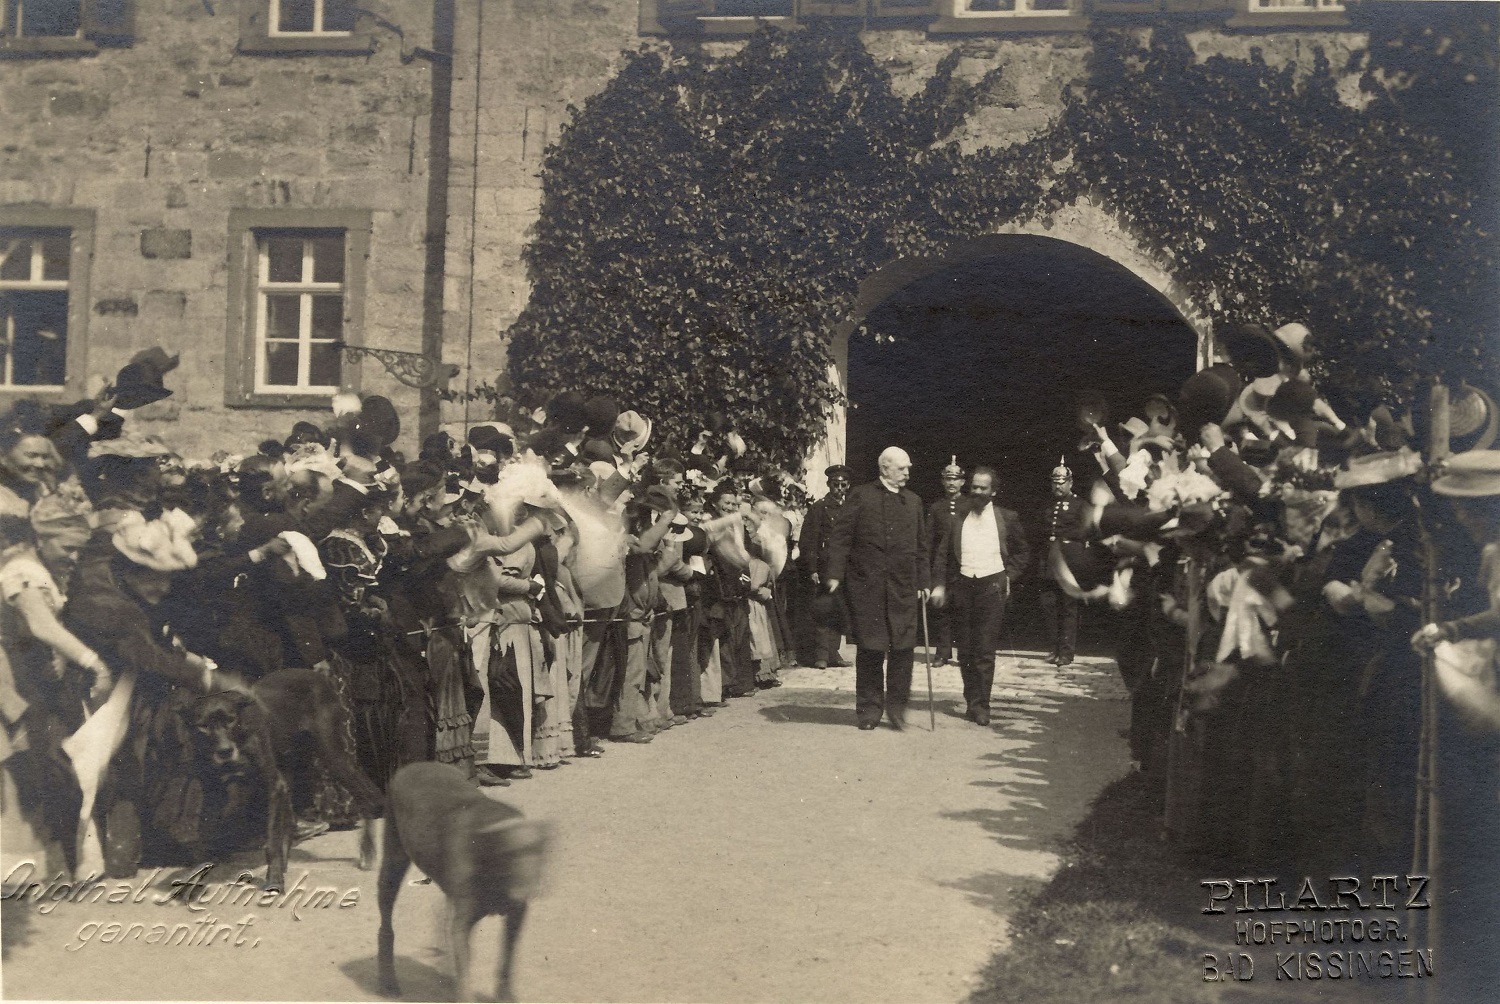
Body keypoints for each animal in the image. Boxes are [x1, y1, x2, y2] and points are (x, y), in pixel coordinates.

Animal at [177, 669, 384, 888]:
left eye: (230, 720)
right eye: (203, 726)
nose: (225, 751)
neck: (241, 735)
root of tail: (318, 676)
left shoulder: (273, 786)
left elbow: (272, 839)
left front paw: (274, 877)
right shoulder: (214, 791)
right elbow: (205, 832)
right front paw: (198, 871)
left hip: (333, 756)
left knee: (370, 797)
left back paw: (368, 850)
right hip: (291, 768)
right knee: (291, 819)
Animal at [378, 762, 555, 996]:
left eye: (538, 853)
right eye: (513, 854)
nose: (529, 889)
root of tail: (415, 765)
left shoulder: (516, 913)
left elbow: (507, 959)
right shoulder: (462, 923)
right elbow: (464, 975)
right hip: (393, 855)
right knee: (386, 915)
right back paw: (388, 981)